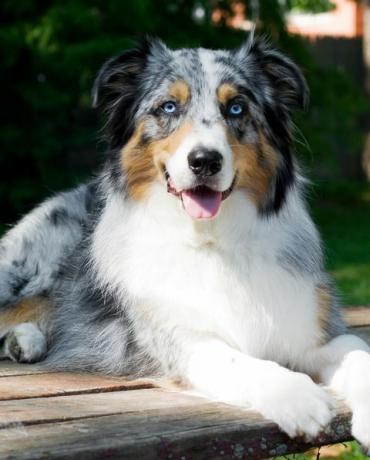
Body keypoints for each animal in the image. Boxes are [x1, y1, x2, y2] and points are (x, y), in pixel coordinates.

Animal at [0, 35, 370, 450]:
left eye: (236, 107)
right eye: (168, 106)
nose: (205, 161)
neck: (212, 240)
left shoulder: (315, 331)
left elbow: (358, 352)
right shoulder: (180, 341)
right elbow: (238, 359)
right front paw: (297, 396)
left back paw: (24, 341)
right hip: (30, 271)